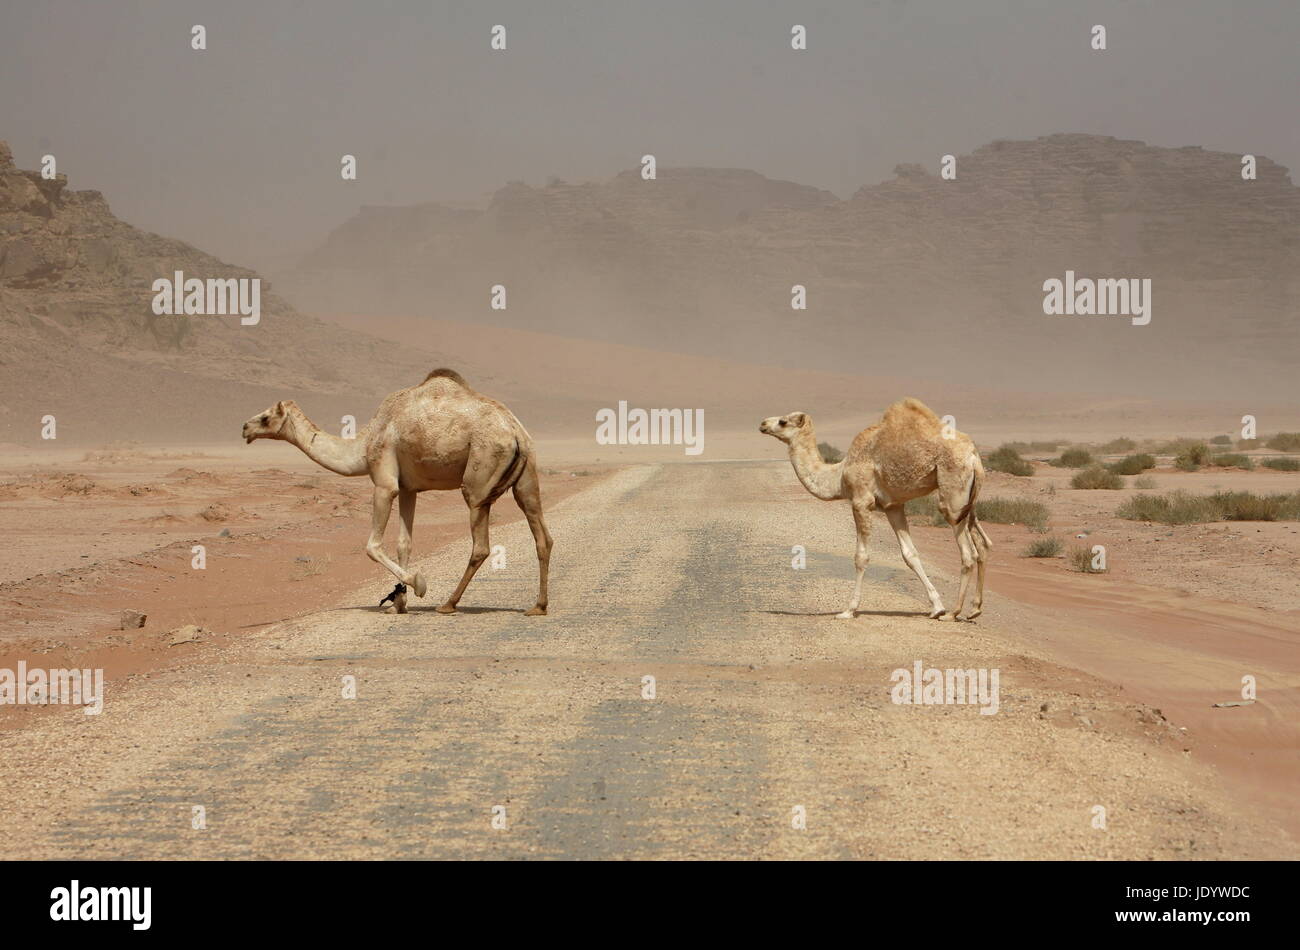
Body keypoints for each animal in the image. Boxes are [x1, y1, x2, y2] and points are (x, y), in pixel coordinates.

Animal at [241, 369, 551, 621]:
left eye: (265, 417)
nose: (245, 427)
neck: (364, 444)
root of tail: (516, 433)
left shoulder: (385, 481)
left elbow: (372, 546)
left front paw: (418, 584)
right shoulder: (408, 488)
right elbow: (404, 543)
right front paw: (398, 604)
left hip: (480, 475)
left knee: (481, 545)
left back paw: (448, 604)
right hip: (527, 479)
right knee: (541, 533)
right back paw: (538, 606)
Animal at [759, 400, 987, 623]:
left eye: (782, 421)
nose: (762, 424)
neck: (839, 475)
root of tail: (974, 457)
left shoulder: (861, 501)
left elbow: (861, 557)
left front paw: (849, 610)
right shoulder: (893, 506)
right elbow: (910, 554)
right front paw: (936, 607)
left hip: (953, 496)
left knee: (968, 554)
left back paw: (954, 612)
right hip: (968, 503)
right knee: (981, 548)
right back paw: (974, 609)